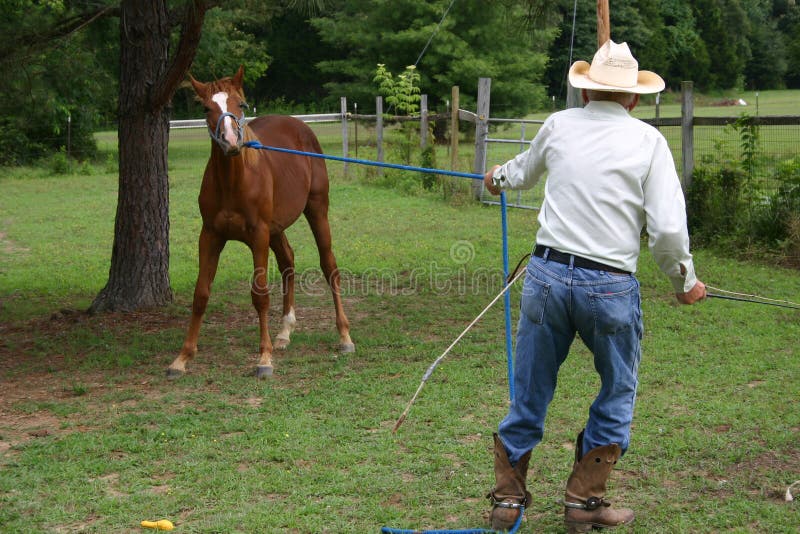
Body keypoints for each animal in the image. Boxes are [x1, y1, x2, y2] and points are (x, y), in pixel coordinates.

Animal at [168, 67, 354, 378]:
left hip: (316, 210)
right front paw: (182, 358)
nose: (231, 142)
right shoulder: (210, 235)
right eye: (206, 108)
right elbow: (201, 294)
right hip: (276, 229)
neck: (234, 183)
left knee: (329, 266)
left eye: (241, 104)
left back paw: (344, 337)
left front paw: (264, 359)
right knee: (288, 261)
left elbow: (260, 295)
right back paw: (284, 332)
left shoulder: (258, 235)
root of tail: (299, 126)